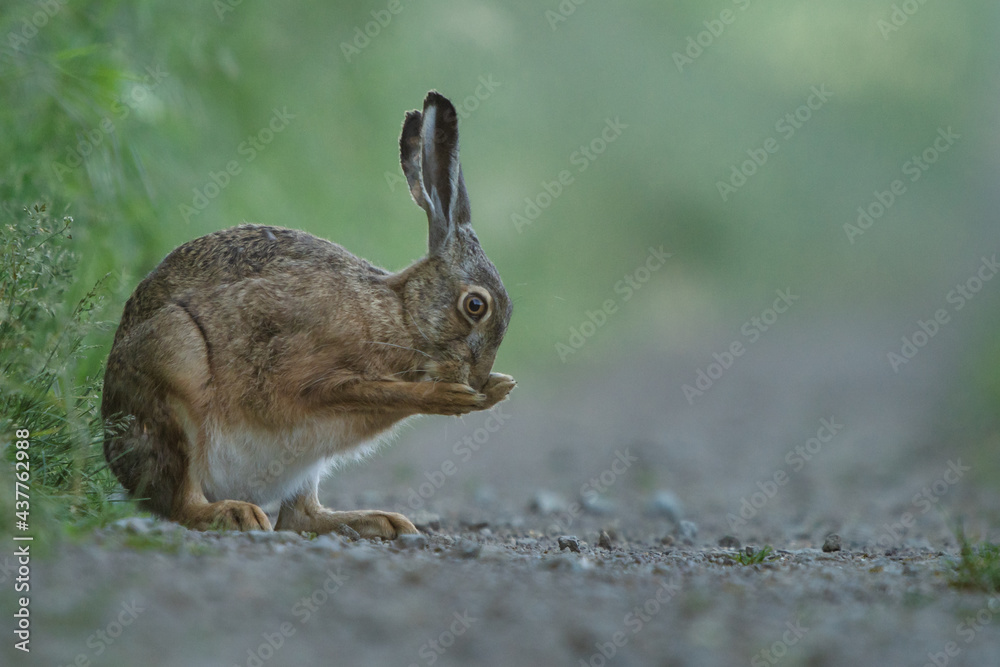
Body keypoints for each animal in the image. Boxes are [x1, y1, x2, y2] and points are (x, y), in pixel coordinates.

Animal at [101, 91, 515, 539]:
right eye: (475, 306)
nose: (478, 378)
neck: (401, 316)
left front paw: (497, 387)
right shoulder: (306, 375)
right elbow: (378, 391)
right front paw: (453, 396)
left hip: (304, 466)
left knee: (300, 516)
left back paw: (382, 521)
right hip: (176, 364)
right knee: (183, 501)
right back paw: (236, 513)